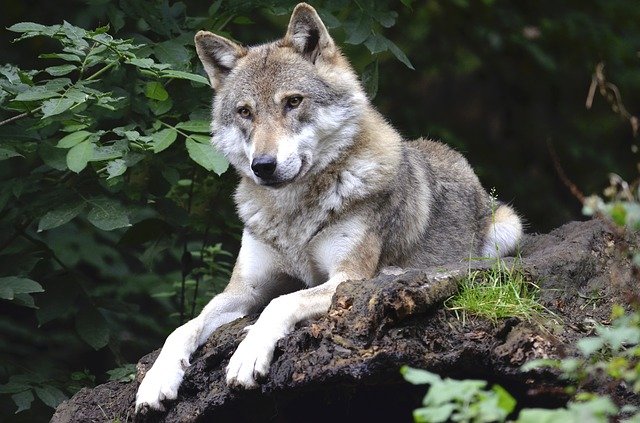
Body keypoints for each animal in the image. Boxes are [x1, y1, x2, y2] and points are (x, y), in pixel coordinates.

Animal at [135, 2, 523, 412]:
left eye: (293, 101)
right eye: (245, 112)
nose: (263, 165)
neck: (292, 215)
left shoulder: (344, 278)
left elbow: (280, 303)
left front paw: (247, 355)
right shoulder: (243, 290)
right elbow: (183, 327)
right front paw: (156, 380)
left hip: (506, 228)